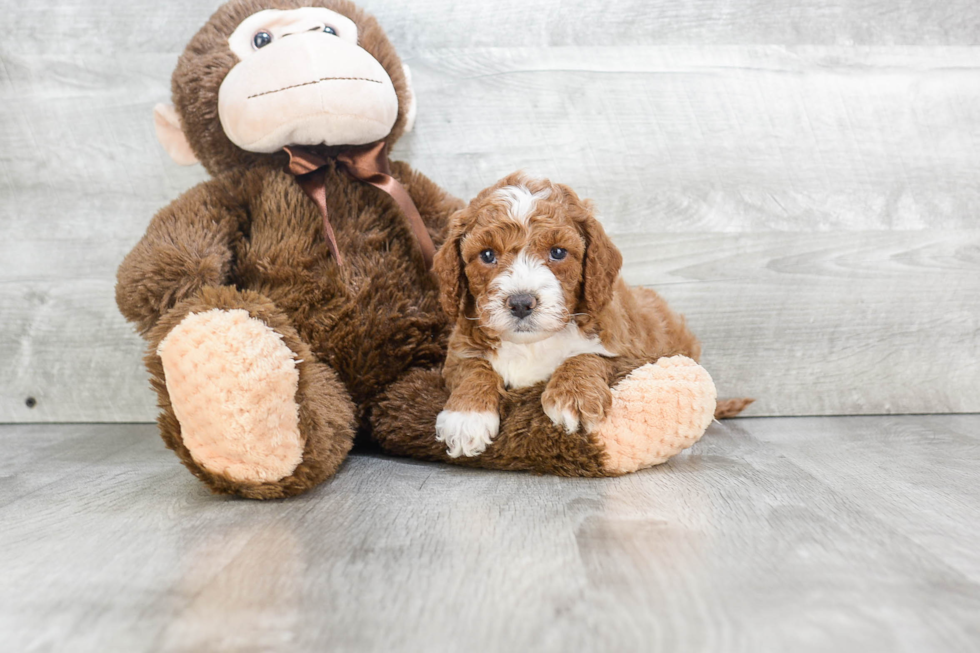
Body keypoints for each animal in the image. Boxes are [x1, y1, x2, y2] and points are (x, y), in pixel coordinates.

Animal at [432, 173, 700, 458]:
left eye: (558, 252)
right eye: (487, 255)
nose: (521, 303)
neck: (532, 344)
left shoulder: (633, 354)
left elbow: (588, 356)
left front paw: (574, 396)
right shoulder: (459, 350)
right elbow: (473, 367)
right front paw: (466, 417)